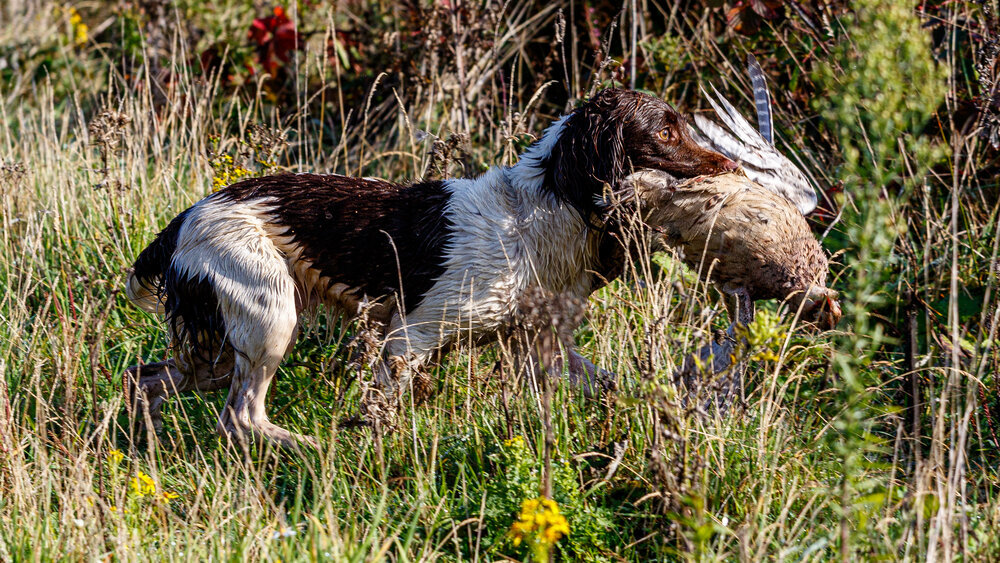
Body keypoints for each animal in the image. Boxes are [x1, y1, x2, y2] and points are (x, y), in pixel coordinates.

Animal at [123, 88, 736, 450]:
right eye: (665, 132)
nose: (729, 165)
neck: (541, 210)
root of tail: (184, 219)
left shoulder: (540, 348)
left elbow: (611, 383)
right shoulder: (407, 340)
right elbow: (382, 412)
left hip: (221, 347)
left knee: (147, 379)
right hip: (268, 320)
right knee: (242, 417)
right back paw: (314, 450)